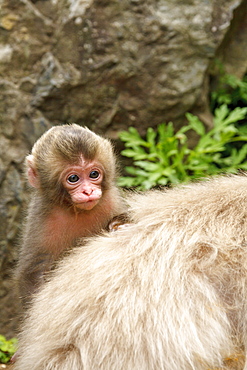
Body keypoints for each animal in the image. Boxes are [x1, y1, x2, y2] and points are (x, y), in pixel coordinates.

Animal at [14, 123, 125, 308]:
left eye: (94, 174)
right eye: (73, 178)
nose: (88, 191)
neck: (77, 210)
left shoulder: (112, 201)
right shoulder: (42, 219)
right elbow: (34, 272)